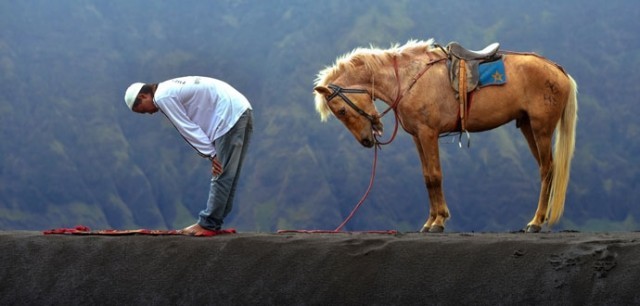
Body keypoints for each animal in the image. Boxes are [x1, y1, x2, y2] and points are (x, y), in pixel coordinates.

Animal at [312, 39, 576, 233]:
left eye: (341, 110)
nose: (367, 140)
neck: (407, 79)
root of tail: (558, 70)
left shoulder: (428, 133)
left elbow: (435, 176)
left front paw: (438, 222)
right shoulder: (418, 136)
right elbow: (427, 176)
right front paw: (431, 220)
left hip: (541, 128)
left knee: (547, 169)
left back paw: (536, 222)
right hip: (528, 127)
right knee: (546, 168)